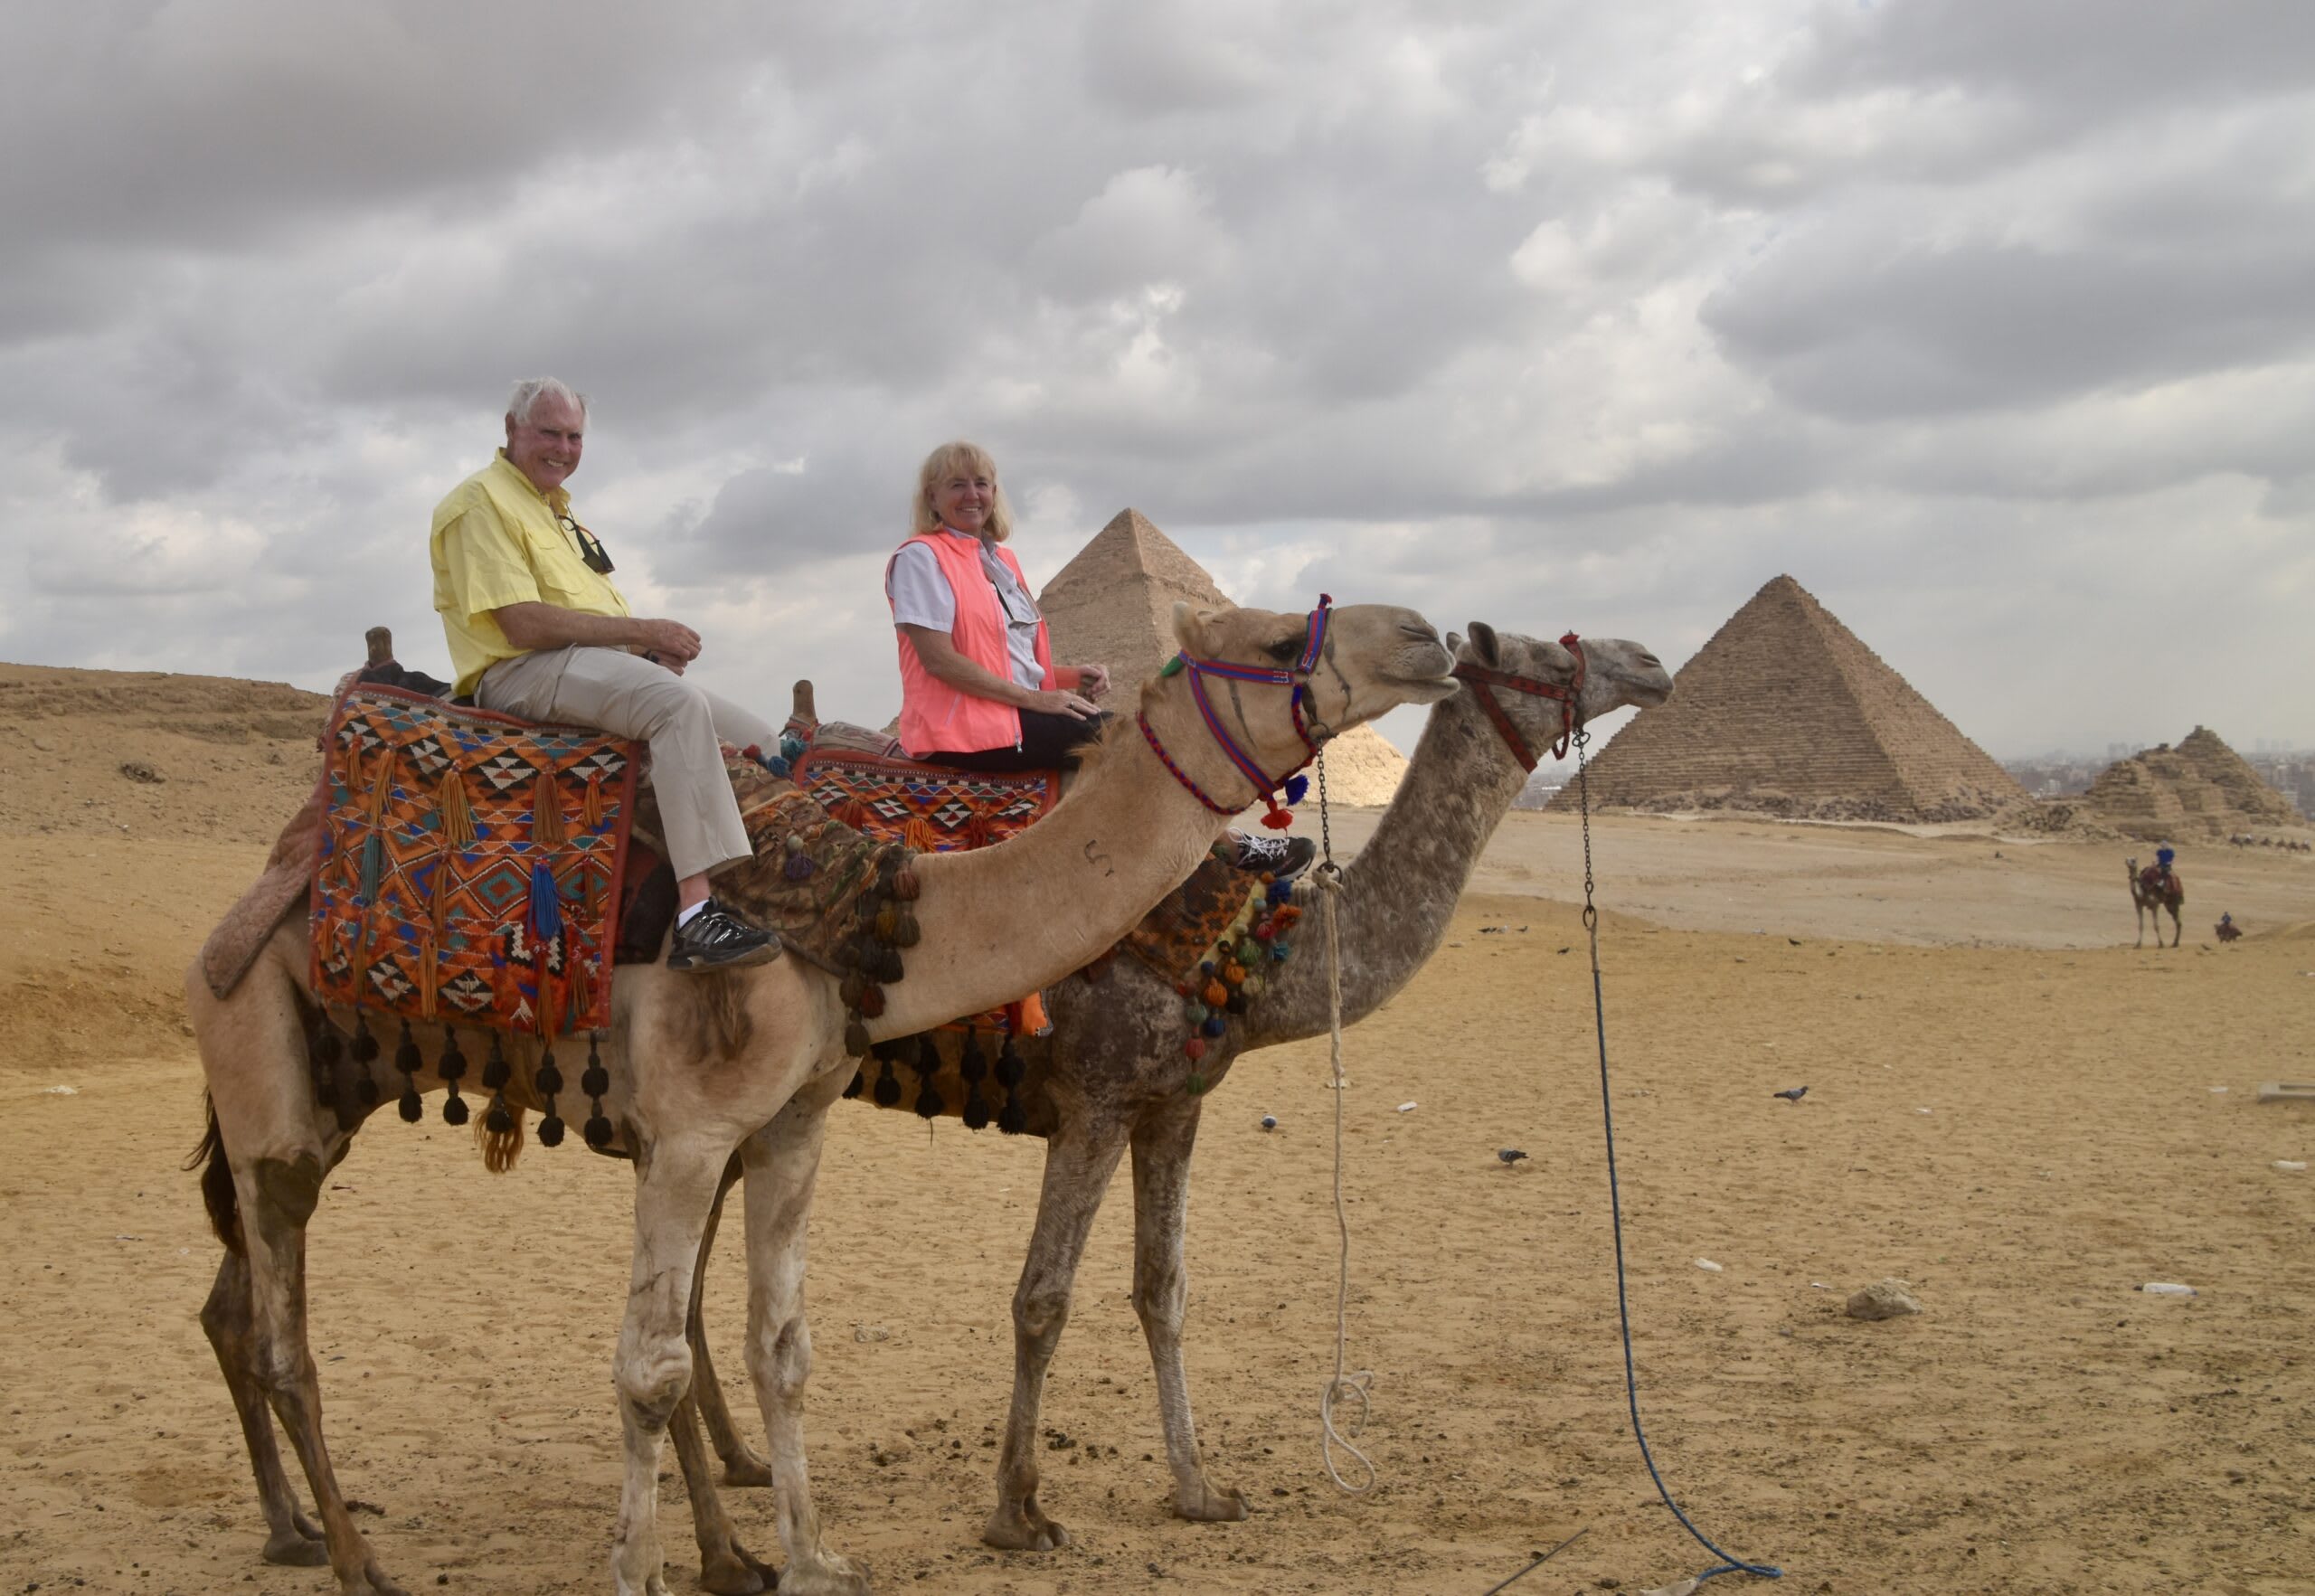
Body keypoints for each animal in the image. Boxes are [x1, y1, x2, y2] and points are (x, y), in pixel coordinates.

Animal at [186, 597, 1456, 1596]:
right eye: (1280, 636)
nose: (1429, 636)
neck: (860, 919)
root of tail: (258, 888)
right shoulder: (694, 1130)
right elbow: (648, 1367)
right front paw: (642, 1572)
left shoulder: (795, 1122)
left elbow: (778, 1344)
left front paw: (809, 1558)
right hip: (261, 1077)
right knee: (285, 1333)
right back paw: (355, 1559)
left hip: (341, 1088)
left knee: (243, 1307)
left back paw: (300, 1532)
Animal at [665, 624, 1672, 1555]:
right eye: (1551, 656)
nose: (1653, 663)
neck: (1258, 953)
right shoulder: (1097, 1101)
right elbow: (1041, 1299)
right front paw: (1017, 1511)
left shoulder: (1175, 1103)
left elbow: (1163, 1289)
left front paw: (1200, 1489)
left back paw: (741, 1465)